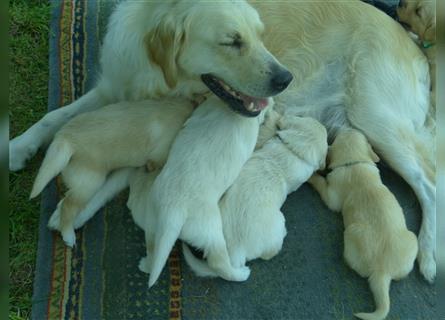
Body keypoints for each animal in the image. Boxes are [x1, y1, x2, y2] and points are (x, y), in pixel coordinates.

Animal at [29, 100, 193, 248]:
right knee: (68, 206)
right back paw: (68, 235)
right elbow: (156, 163)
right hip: (90, 183)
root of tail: (65, 139)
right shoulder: (160, 154)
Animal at [140, 95, 270, 288]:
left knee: (152, 246)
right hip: (210, 231)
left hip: (153, 217)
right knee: (219, 263)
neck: (230, 110)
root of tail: (173, 211)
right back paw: (240, 273)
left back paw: (146, 265)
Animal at [308, 128, 416, 320]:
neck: (354, 163)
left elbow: (322, 185)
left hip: (351, 234)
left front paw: (312, 176)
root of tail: (382, 272)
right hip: (412, 240)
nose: (346, 127)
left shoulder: (332, 194)